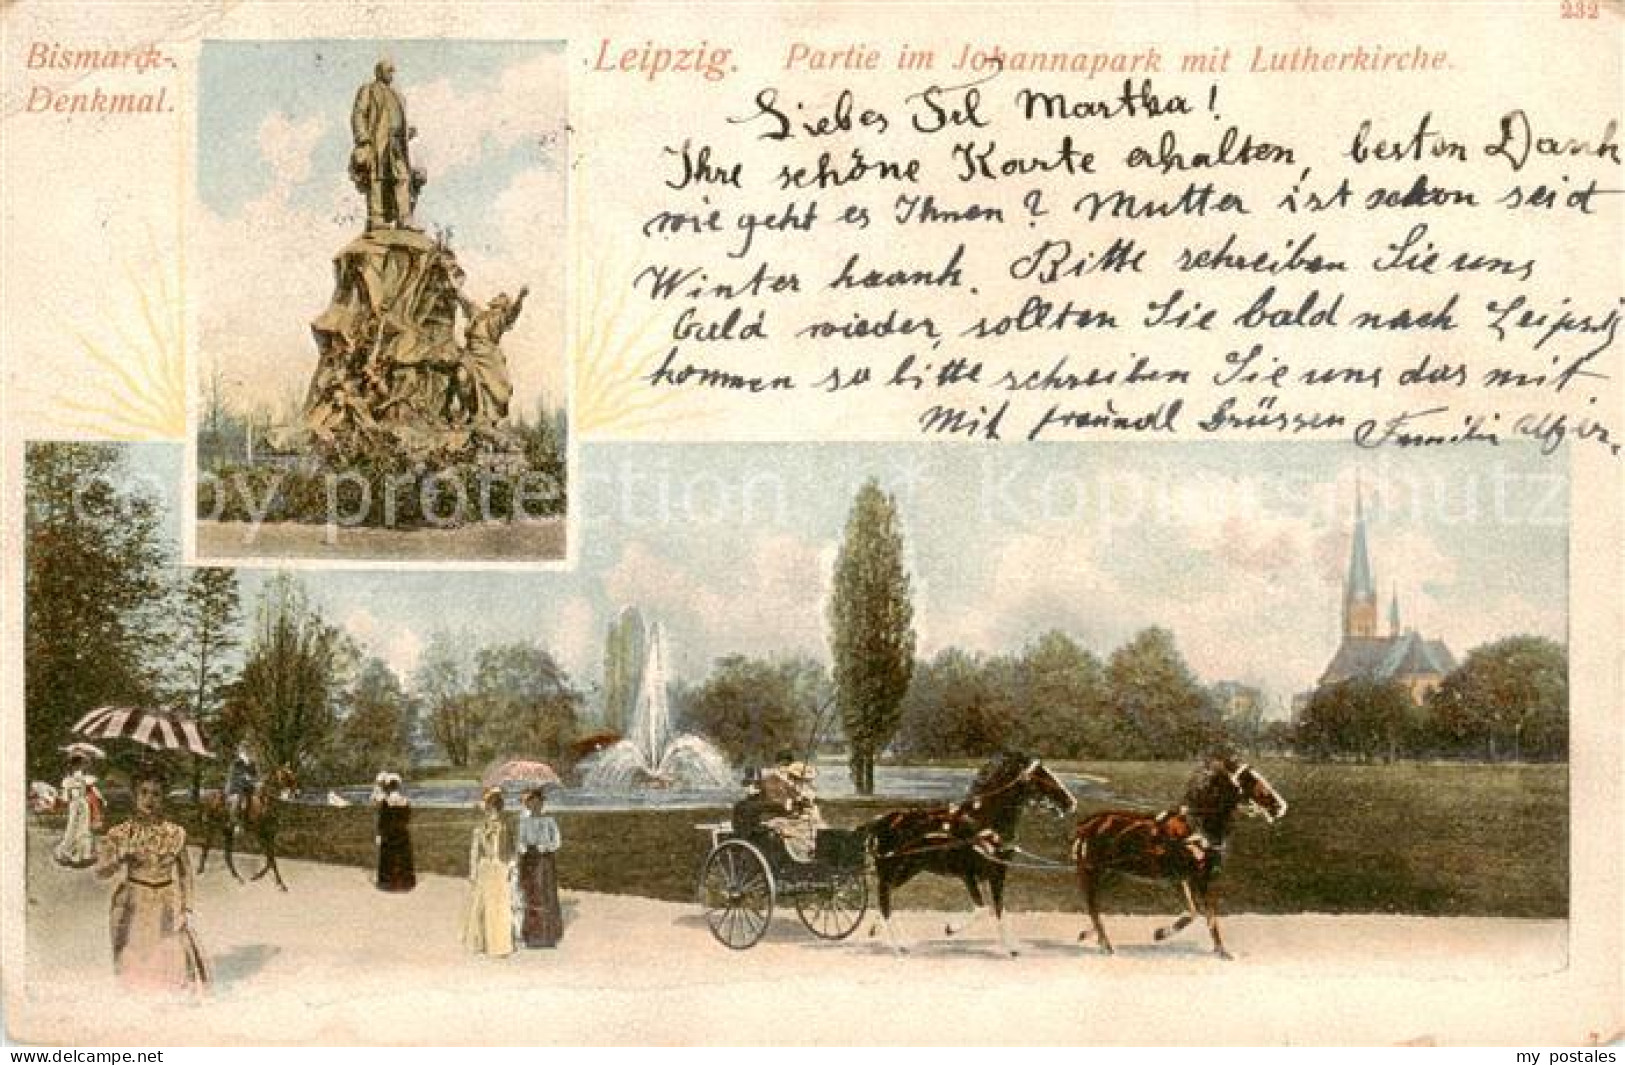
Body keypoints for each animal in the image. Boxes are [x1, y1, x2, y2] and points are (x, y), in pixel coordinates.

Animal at [1072, 754, 1287, 962]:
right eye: (1249, 780)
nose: (1279, 806)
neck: (1197, 829)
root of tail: (1086, 826)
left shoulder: (1188, 878)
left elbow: (1197, 912)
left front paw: (1163, 933)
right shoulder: (1196, 878)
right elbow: (1206, 915)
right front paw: (1217, 950)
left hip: (1110, 874)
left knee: (1094, 908)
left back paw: (1091, 935)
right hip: (1092, 872)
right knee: (1093, 907)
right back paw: (1106, 946)